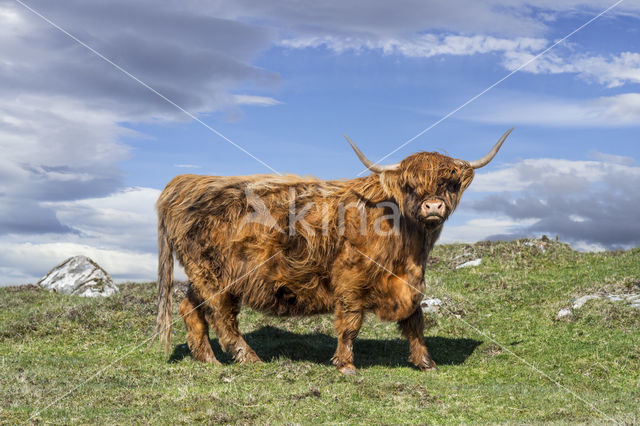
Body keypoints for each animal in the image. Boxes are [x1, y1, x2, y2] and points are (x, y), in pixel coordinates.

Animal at [152, 129, 512, 372]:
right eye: (410, 186)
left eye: (448, 184)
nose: (433, 206)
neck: (407, 244)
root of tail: (185, 182)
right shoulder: (351, 279)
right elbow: (350, 323)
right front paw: (346, 365)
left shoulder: (411, 281)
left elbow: (414, 320)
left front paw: (426, 362)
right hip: (215, 275)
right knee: (221, 317)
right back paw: (249, 359)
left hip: (201, 274)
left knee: (191, 308)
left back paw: (208, 360)